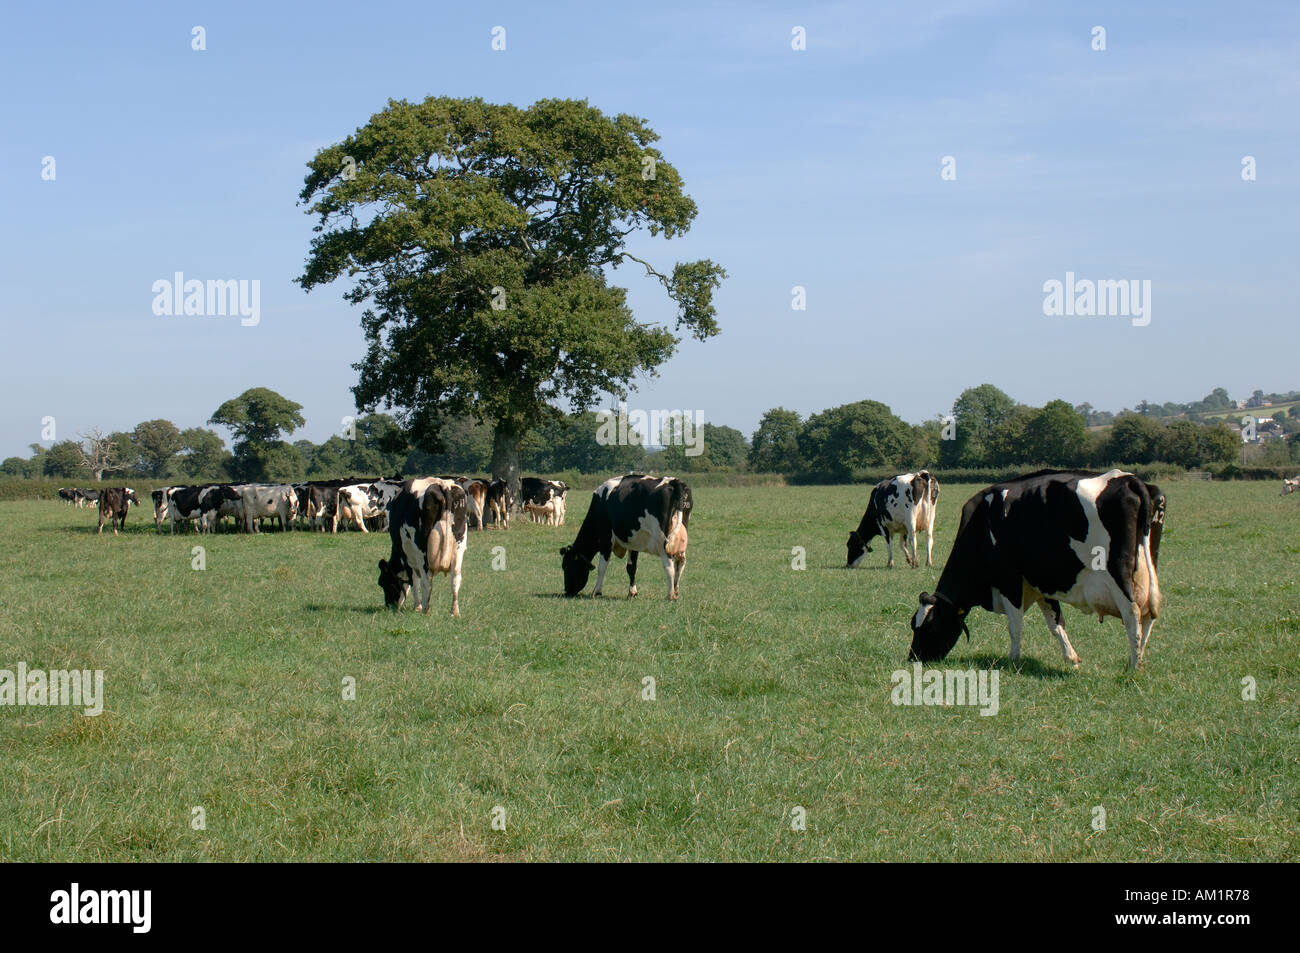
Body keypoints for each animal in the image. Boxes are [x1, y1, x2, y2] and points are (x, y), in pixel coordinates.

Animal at [379, 475, 470, 616]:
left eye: (383, 582)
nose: (389, 605)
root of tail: (443, 484)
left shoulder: (407, 556)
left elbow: (414, 582)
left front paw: (417, 606)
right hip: (459, 547)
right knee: (455, 579)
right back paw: (454, 612)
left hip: (422, 552)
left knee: (426, 581)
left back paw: (425, 610)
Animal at [564, 473, 696, 598]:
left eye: (567, 567)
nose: (567, 591)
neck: (599, 507)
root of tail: (673, 481)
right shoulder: (634, 541)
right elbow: (631, 567)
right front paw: (632, 592)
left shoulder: (606, 539)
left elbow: (602, 567)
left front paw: (596, 592)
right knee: (680, 563)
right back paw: (676, 592)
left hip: (662, 542)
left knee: (669, 566)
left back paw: (670, 595)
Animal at [904, 468, 1170, 670]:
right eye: (913, 624)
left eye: (930, 626)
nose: (913, 658)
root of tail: (1129, 479)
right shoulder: (1039, 584)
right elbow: (1056, 623)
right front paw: (1072, 658)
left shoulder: (1010, 580)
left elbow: (1015, 626)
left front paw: (1012, 661)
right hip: (1148, 570)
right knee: (1148, 617)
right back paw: (1138, 659)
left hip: (1118, 576)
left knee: (1133, 615)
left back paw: (1134, 666)